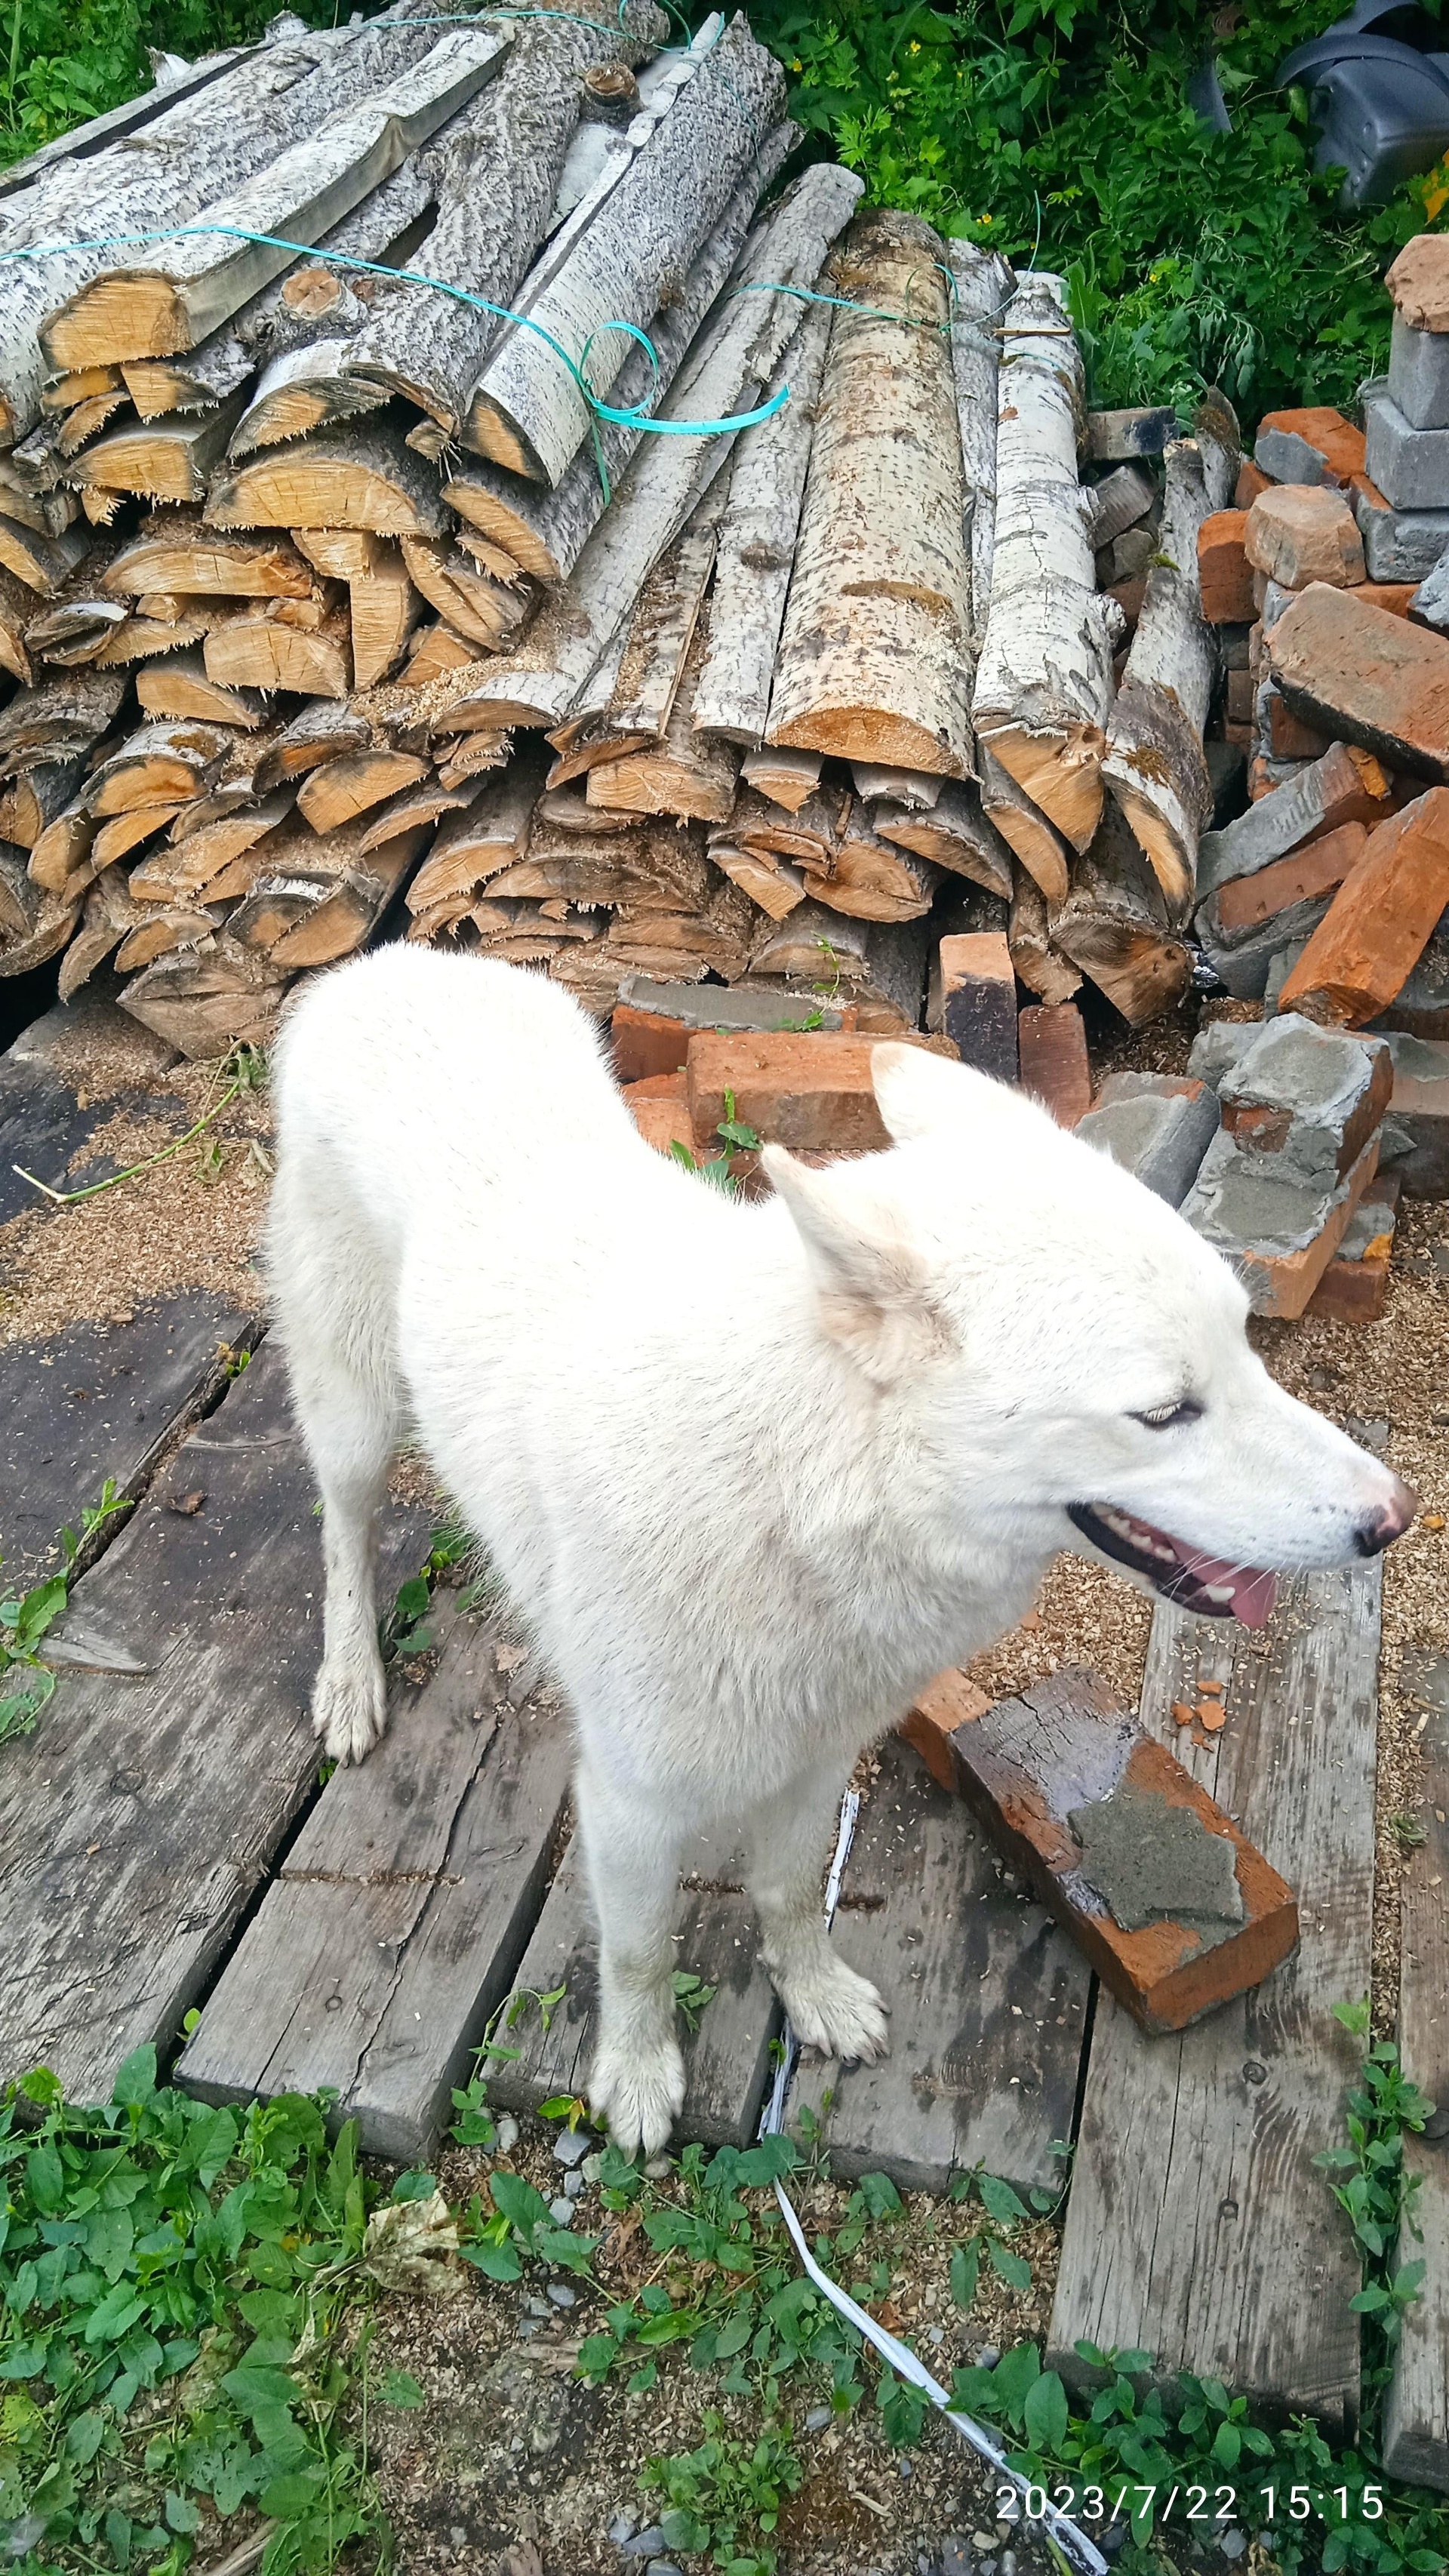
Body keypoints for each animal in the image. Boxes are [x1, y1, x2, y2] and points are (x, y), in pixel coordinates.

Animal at [269, 947, 1420, 2153]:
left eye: (1247, 1347)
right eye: (1164, 1413)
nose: (1395, 1516)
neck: (790, 1490)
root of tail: (390, 961)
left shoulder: (817, 1760)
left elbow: (784, 1895)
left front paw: (812, 1997)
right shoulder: (629, 1805)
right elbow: (639, 1955)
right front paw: (637, 2074)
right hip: (354, 1411)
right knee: (342, 1529)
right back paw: (349, 1683)